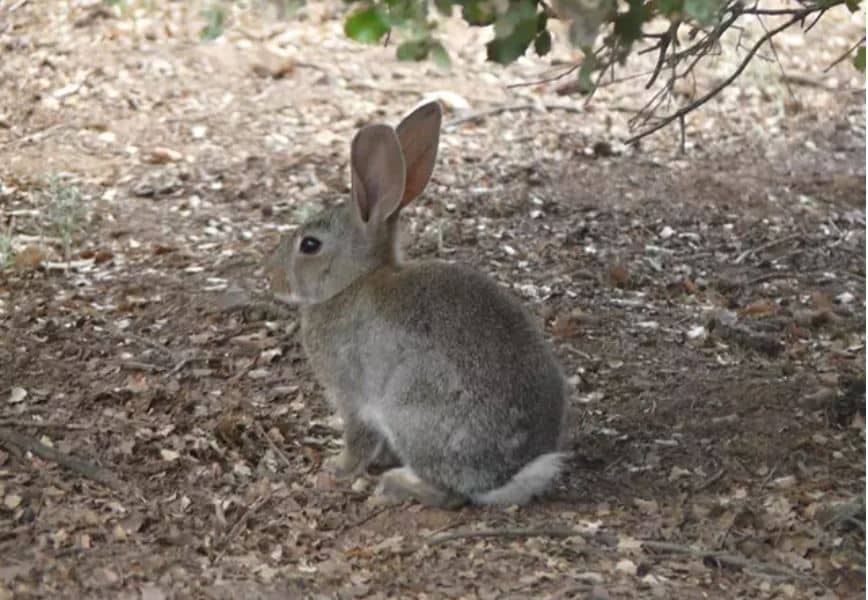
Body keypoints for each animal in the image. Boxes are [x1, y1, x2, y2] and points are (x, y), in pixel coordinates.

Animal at [266, 102, 568, 506]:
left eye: (310, 245)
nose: (270, 277)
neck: (351, 283)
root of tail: (507, 475)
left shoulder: (352, 396)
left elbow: (358, 438)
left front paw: (336, 469)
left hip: (411, 410)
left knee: (448, 493)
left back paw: (396, 484)